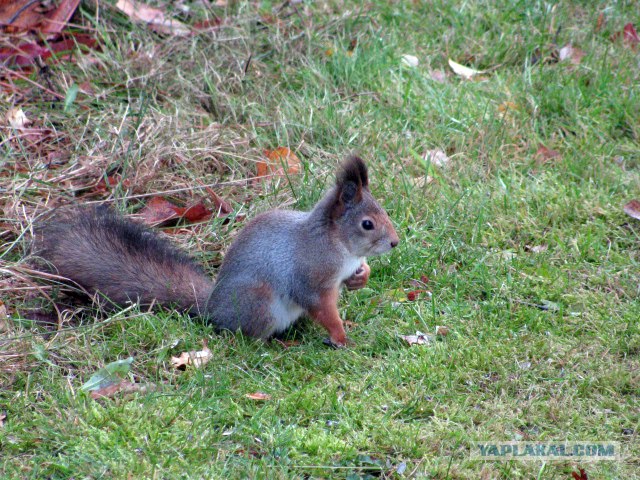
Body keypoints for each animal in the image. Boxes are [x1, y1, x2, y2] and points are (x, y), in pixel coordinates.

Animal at [33, 156, 400, 346]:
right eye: (367, 224)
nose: (395, 242)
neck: (339, 245)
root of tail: (212, 308)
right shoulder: (311, 277)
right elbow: (321, 306)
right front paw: (340, 335)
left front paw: (361, 278)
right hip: (258, 303)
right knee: (247, 336)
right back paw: (275, 343)